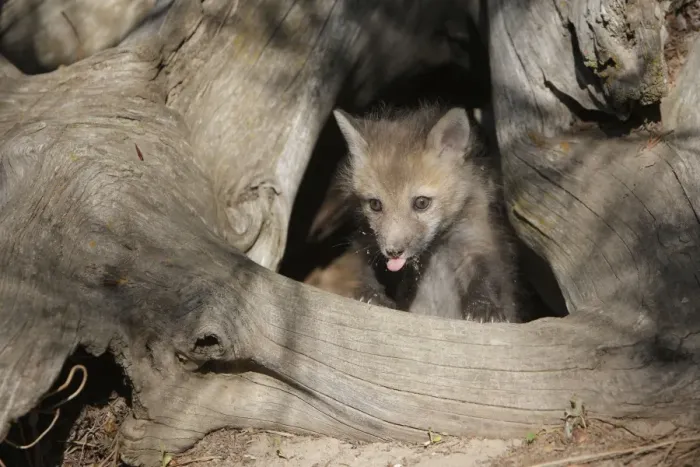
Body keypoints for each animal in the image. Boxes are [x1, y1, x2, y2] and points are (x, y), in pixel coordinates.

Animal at [332, 103, 519, 322]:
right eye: (375, 204)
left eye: (421, 203)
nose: (393, 251)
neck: (434, 251)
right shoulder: (366, 242)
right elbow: (364, 271)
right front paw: (371, 294)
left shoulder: (476, 240)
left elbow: (485, 276)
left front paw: (484, 307)